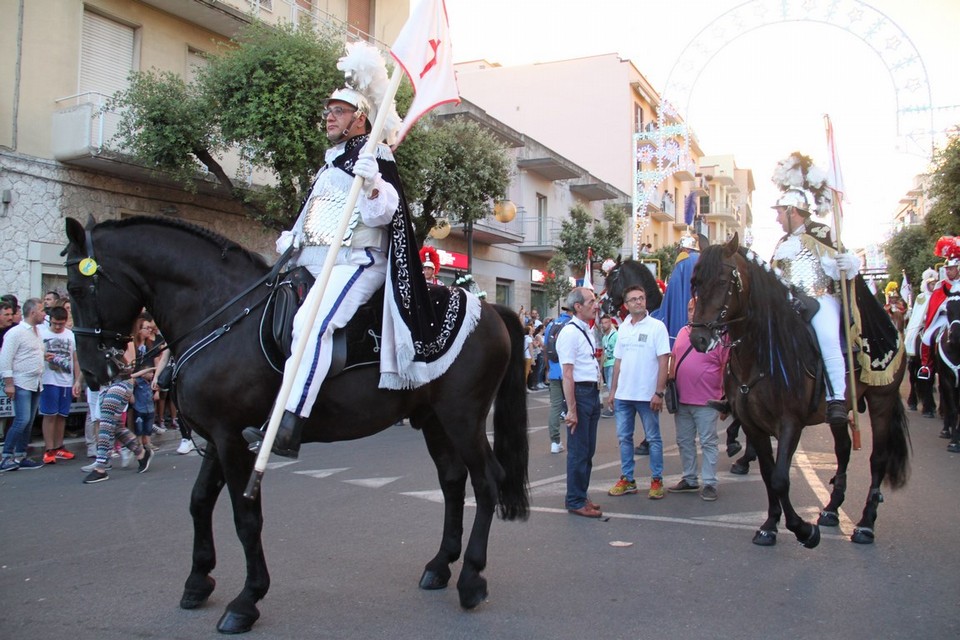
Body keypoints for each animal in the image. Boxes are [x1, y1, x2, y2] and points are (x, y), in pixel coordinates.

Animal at [688, 238, 908, 548]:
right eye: (695, 282)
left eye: (722, 281)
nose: (699, 339)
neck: (762, 353)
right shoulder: (753, 423)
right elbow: (768, 474)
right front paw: (769, 526)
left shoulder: (790, 422)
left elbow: (781, 478)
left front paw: (804, 530)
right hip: (838, 410)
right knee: (843, 449)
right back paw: (830, 510)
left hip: (881, 400)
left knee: (877, 458)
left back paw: (865, 525)